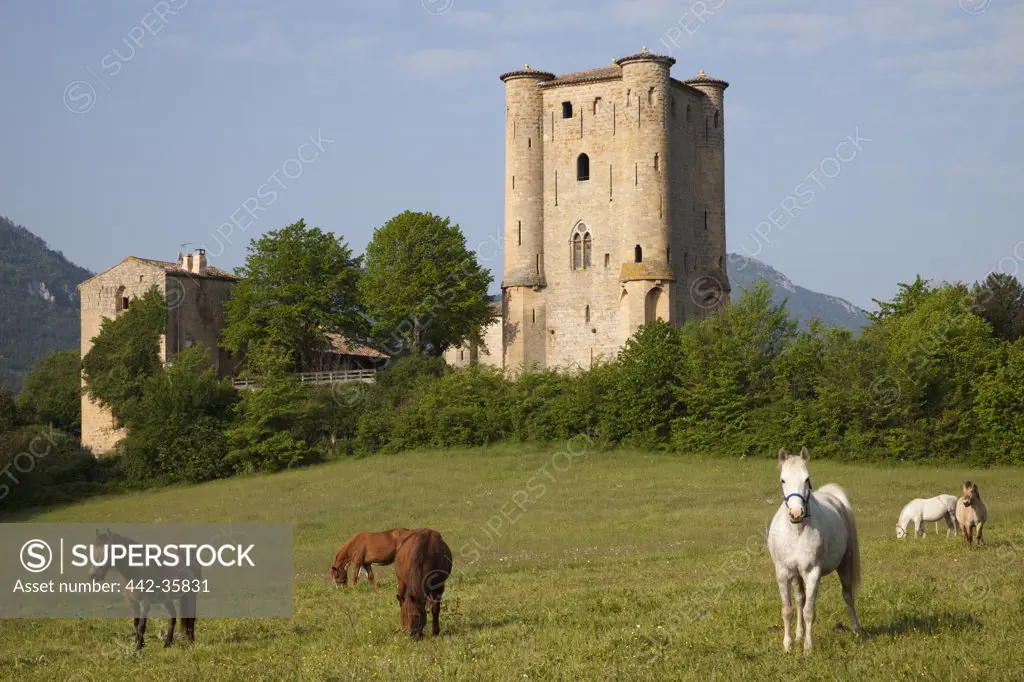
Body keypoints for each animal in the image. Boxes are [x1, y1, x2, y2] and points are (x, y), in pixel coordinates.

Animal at [765, 446, 860, 655]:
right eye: (783, 480)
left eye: (807, 479)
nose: (796, 513)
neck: (796, 531)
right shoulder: (783, 573)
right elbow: (788, 610)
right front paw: (788, 645)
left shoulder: (812, 573)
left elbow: (809, 611)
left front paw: (808, 648)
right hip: (796, 576)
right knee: (800, 599)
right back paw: (799, 634)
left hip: (844, 565)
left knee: (848, 595)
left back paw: (857, 629)